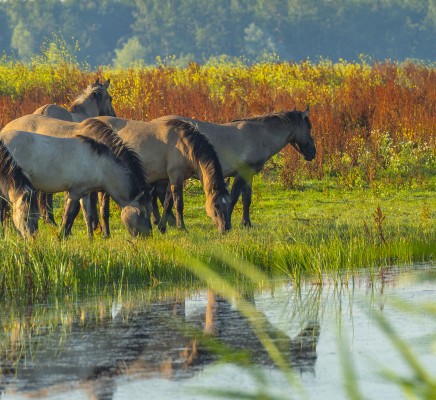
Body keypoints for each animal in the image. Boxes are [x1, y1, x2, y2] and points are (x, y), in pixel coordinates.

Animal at [0, 119, 152, 238]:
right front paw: (62, 237)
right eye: (142, 212)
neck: (98, 161)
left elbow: (87, 215)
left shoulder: (85, 192)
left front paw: (90, 238)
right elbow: (68, 216)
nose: (149, 235)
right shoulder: (74, 192)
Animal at [152, 108, 316, 227]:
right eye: (309, 128)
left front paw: (246, 223)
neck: (258, 135)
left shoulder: (249, 175)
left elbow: (246, 199)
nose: (313, 153)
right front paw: (228, 220)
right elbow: (234, 198)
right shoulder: (241, 173)